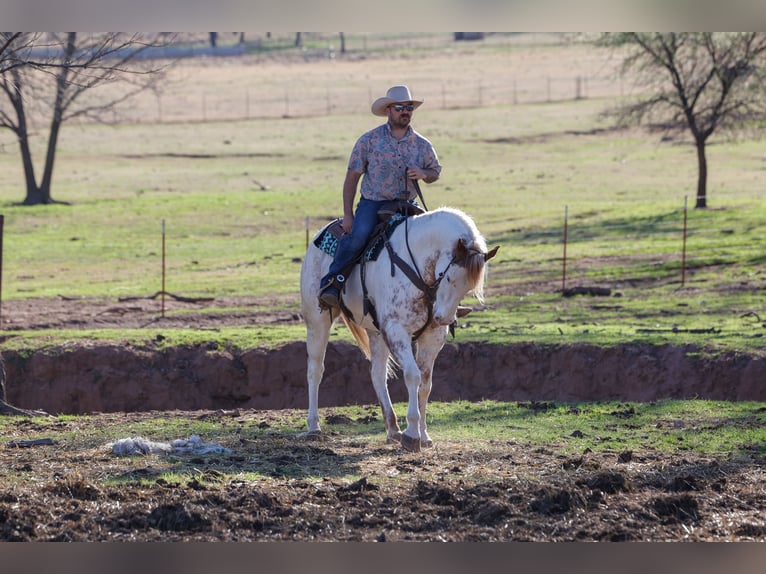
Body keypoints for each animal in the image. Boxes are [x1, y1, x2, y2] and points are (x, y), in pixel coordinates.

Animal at [299, 206, 498, 452]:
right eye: (449, 277)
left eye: (469, 287)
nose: (443, 318)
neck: (418, 268)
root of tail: (319, 234)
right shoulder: (396, 331)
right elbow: (413, 376)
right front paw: (412, 434)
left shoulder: (432, 338)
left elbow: (425, 384)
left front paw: (424, 434)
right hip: (318, 322)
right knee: (315, 371)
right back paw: (314, 427)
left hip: (376, 332)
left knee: (377, 375)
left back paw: (393, 429)